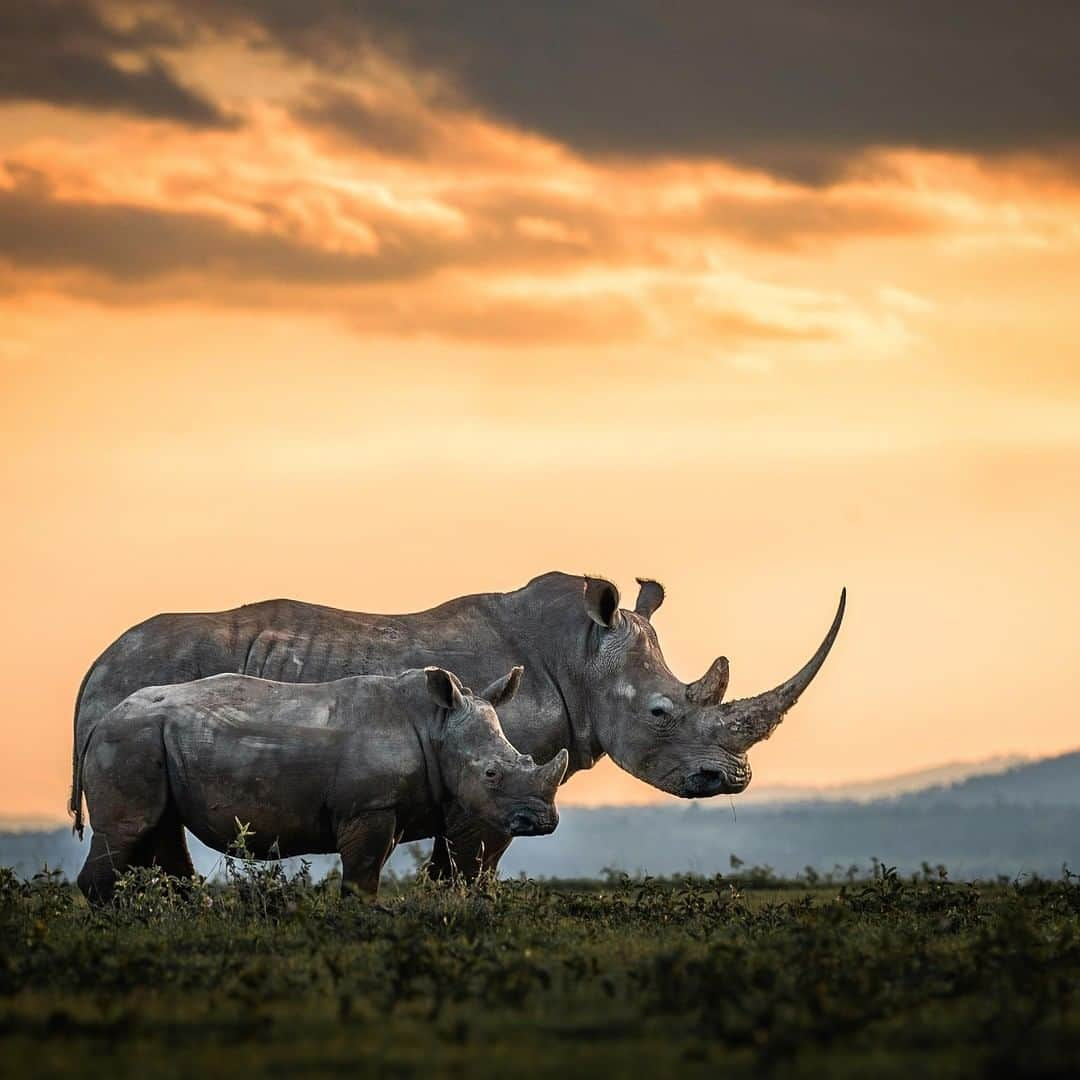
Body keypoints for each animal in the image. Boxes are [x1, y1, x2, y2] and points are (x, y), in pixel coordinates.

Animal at [75, 660, 565, 898]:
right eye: (491, 774)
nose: (542, 822)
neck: (436, 725)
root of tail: (100, 720)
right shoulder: (368, 806)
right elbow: (363, 877)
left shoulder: (390, 807)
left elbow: (367, 872)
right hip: (129, 738)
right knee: (127, 830)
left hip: (148, 740)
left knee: (158, 828)